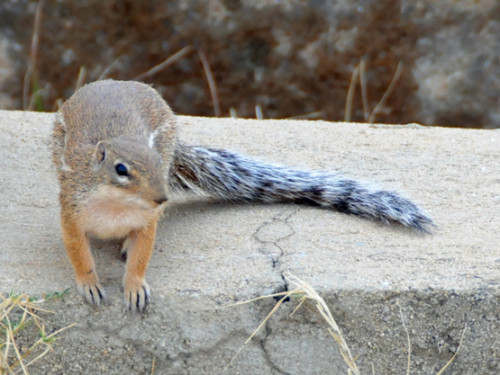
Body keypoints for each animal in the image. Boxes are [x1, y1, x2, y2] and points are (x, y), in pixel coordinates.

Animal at [51, 80, 434, 314]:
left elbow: (143, 252)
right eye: (120, 169)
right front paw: (89, 284)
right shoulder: (71, 212)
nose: (161, 198)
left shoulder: (147, 221)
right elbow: (76, 250)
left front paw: (134, 286)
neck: (117, 209)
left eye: (160, 164)